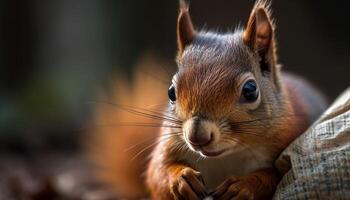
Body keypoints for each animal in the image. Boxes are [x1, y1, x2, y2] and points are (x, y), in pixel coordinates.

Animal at [87, 0, 326, 199]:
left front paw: (244, 185)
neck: (225, 157)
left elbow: (275, 177)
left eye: (250, 90)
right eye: (171, 92)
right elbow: (156, 174)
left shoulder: (289, 140)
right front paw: (180, 180)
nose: (197, 136)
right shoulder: (168, 144)